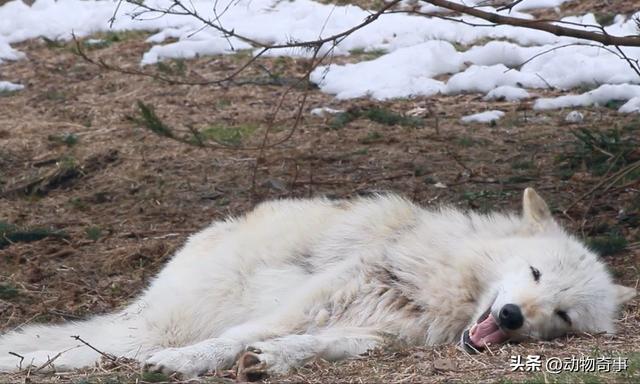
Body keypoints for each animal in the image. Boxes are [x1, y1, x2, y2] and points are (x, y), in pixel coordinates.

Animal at [1, 189, 636, 378]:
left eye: (562, 316)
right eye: (534, 274)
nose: (511, 317)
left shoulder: (378, 336)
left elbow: (314, 346)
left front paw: (271, 362)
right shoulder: (318, 298)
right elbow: (236, 338)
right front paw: (184, 365)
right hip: (157, 321)